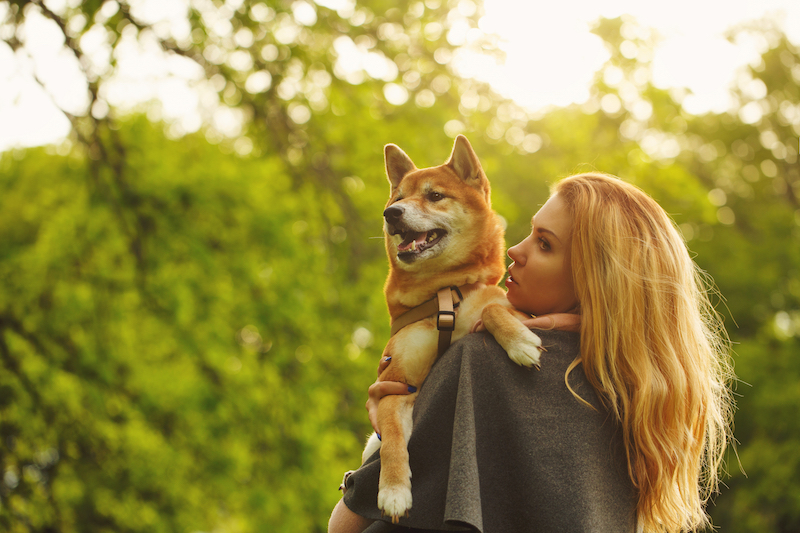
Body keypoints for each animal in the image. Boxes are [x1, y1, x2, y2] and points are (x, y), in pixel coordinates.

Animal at [360, 135, 544, 520]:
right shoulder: (395, 385)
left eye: (434, 195)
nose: (391, 214)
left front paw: (519, 343)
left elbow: (493, 309)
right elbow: (392, 441)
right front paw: (393, 490)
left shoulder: (520, 312)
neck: (444, 294)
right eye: (397, 200)